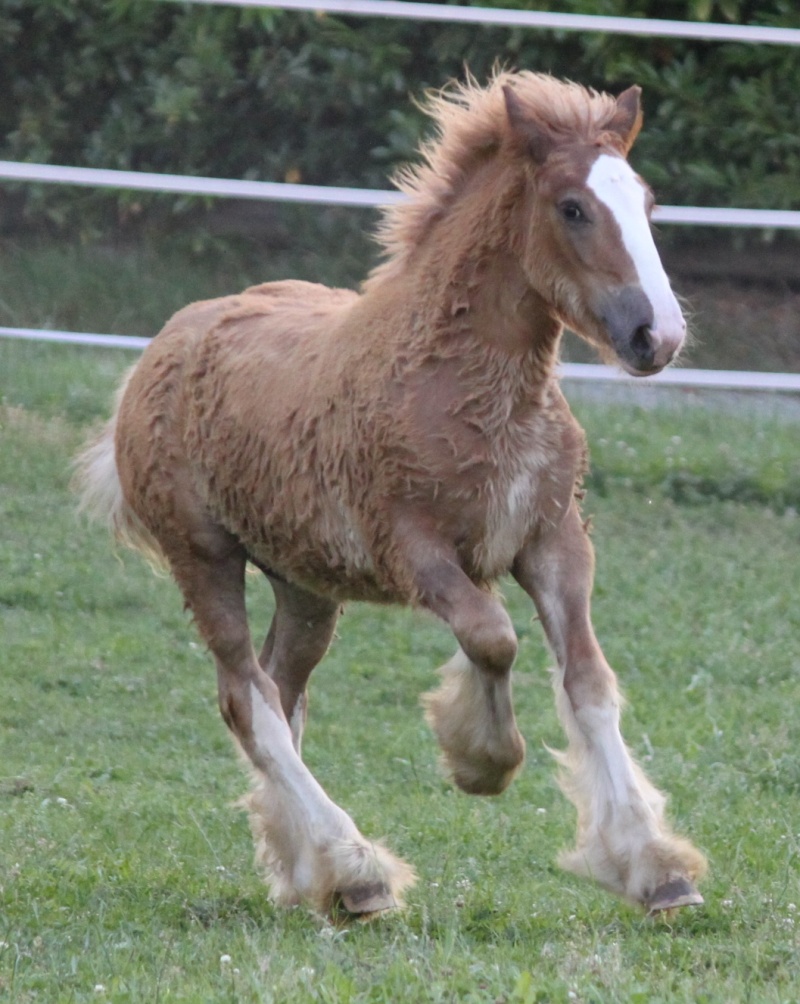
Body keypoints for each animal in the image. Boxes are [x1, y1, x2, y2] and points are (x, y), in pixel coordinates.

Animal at [77, 70, 706, 919]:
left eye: (646, 203)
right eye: (572, 207)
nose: (656, 336)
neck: (464, 383)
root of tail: (164, 344)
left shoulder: (554, 539)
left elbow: (588, 680)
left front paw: (655, 866)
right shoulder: (413, 548)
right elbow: (492, 637)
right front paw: (480, 757)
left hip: (305, 586)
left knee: (281, 689)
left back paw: (309, 873)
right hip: (203, 556)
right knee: (248, 696)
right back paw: (355, 870)